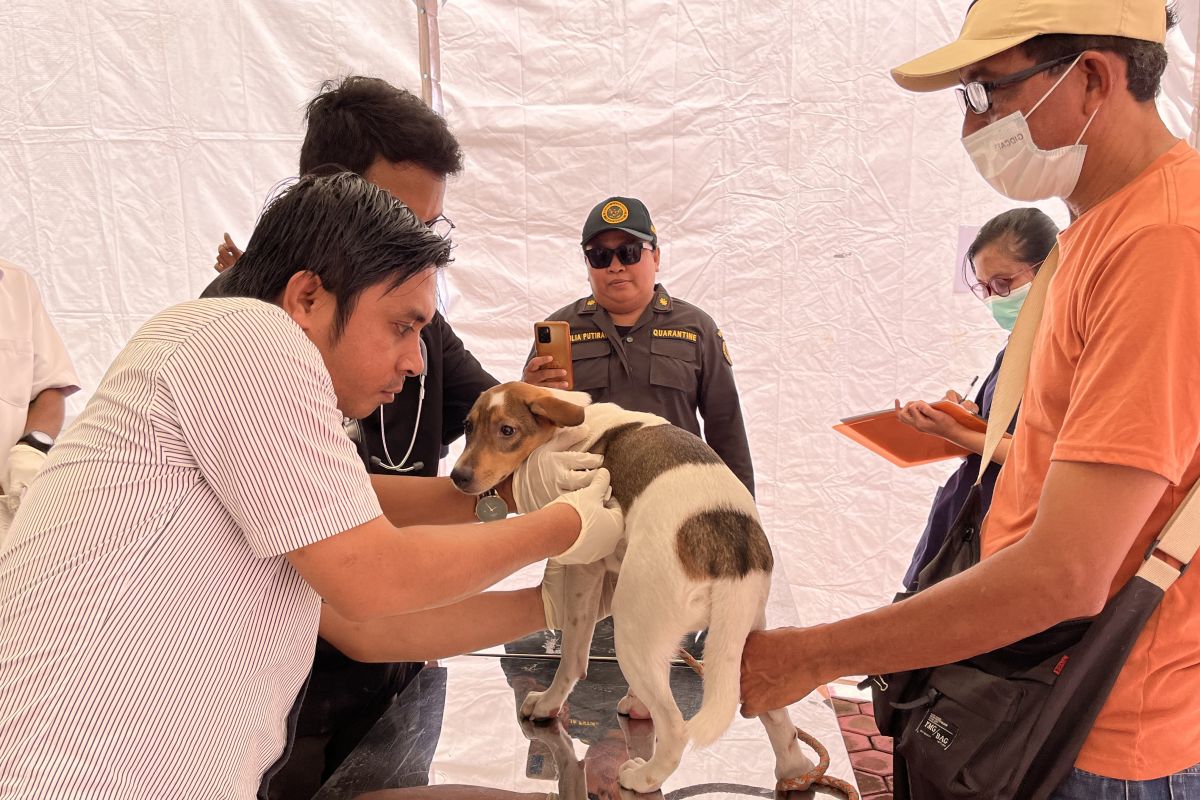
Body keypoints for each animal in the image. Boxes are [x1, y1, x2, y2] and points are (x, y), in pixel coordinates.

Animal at [451, 383, 816, 796]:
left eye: (507, 430)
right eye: (467, 426)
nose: (457, 476)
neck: (567, 435)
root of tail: (727, 543)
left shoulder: (586, 570)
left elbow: (572, 656)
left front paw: (548, 703)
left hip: (632, 630)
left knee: (674, 727)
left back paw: (643, 776)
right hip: (740, 637)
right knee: (778, 719)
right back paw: (794, 768)